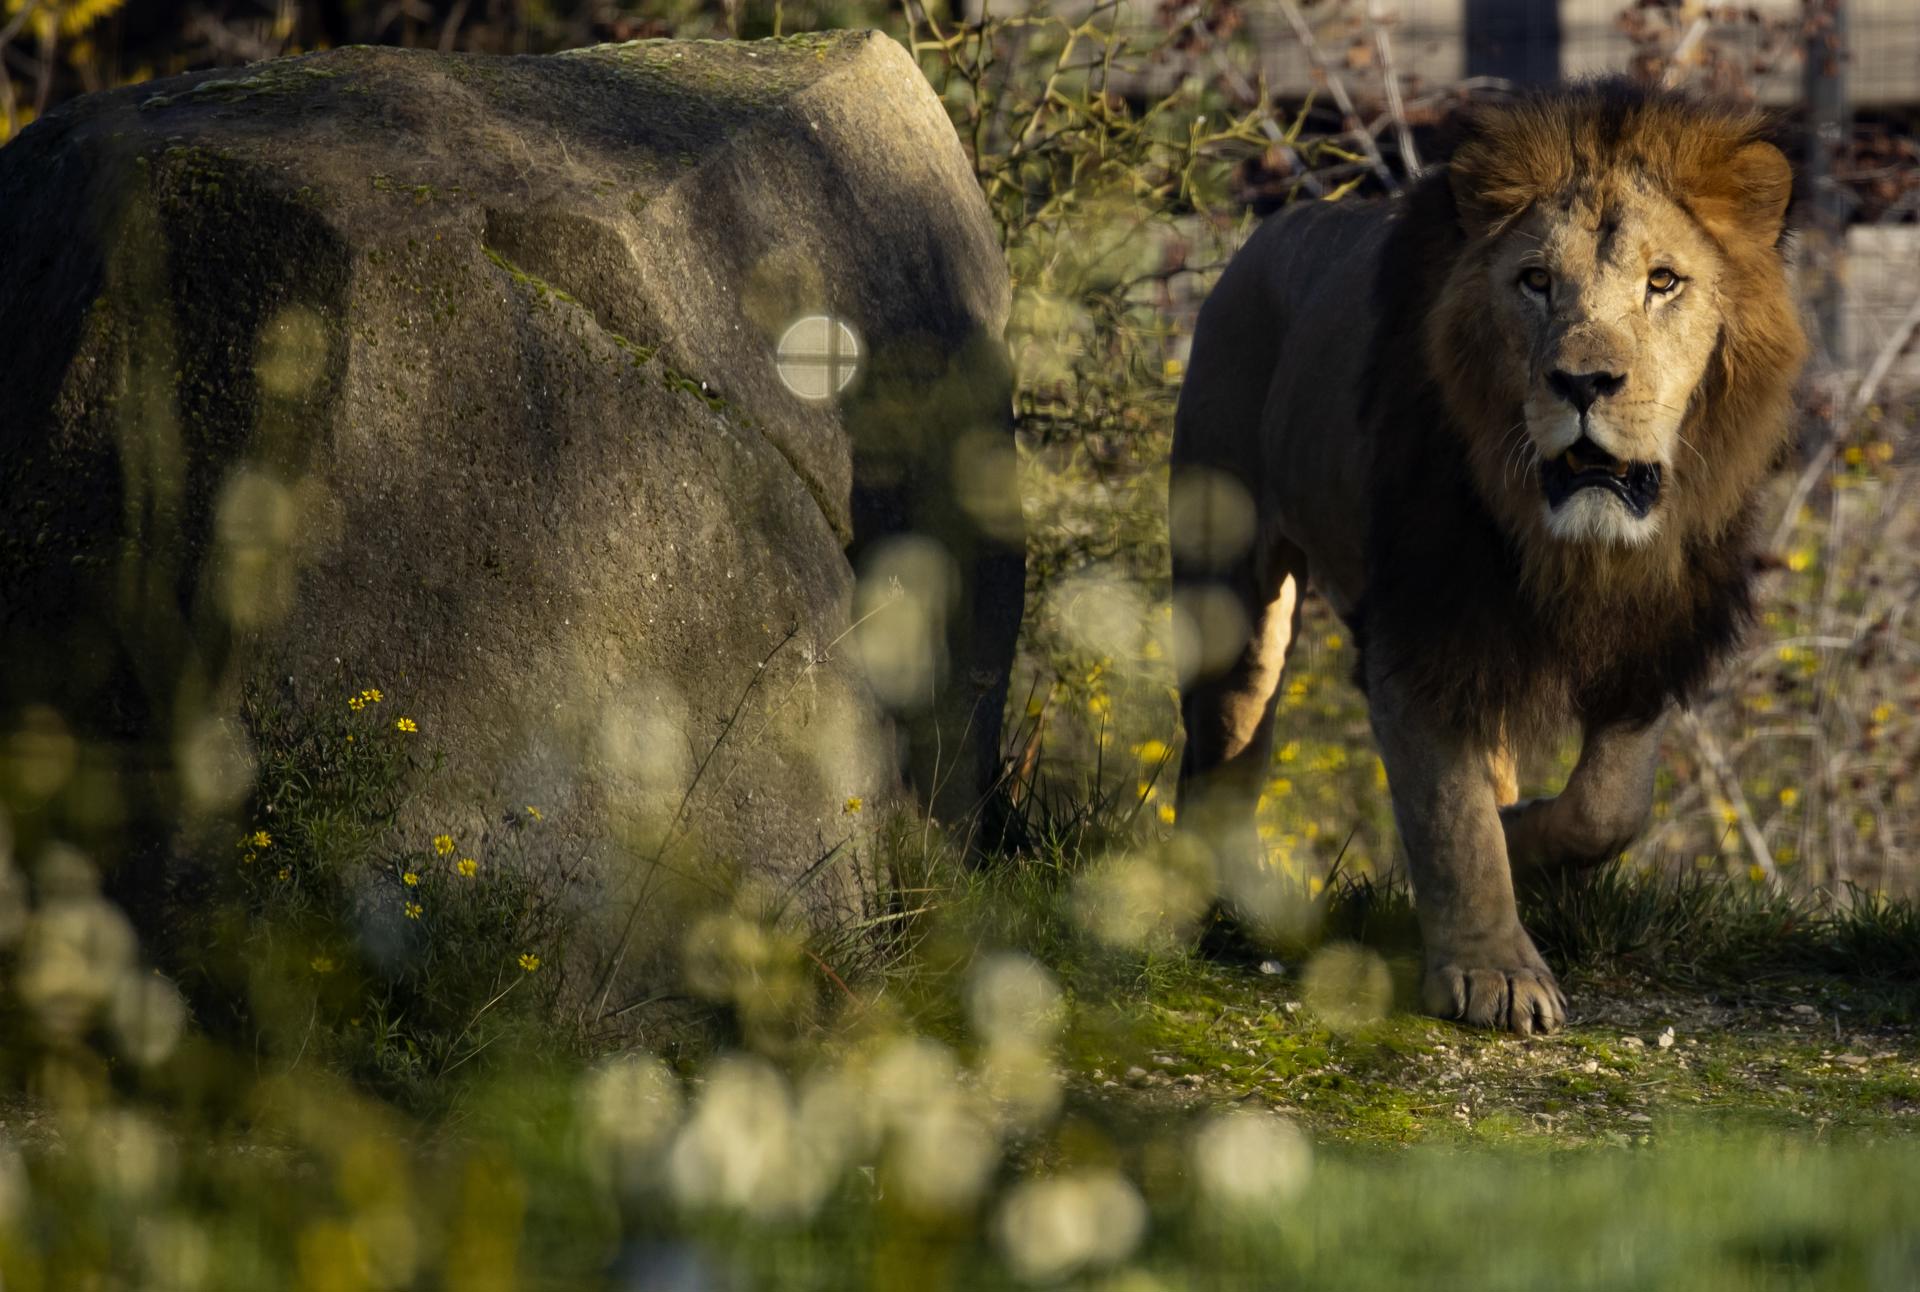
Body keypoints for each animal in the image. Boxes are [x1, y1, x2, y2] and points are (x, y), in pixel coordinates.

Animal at [1170, 82, 1806, 1035]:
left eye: (1663, 282)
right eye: (1535, 282)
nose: (1583, 384)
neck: (1572, 543)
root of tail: (1273, 229)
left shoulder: (1651, 632)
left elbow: (1609, 805)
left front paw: (1524, 843)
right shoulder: (1421, 628)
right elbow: (1450, 817)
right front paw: (1492, 972)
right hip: (1233, 594)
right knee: (1226, 741)